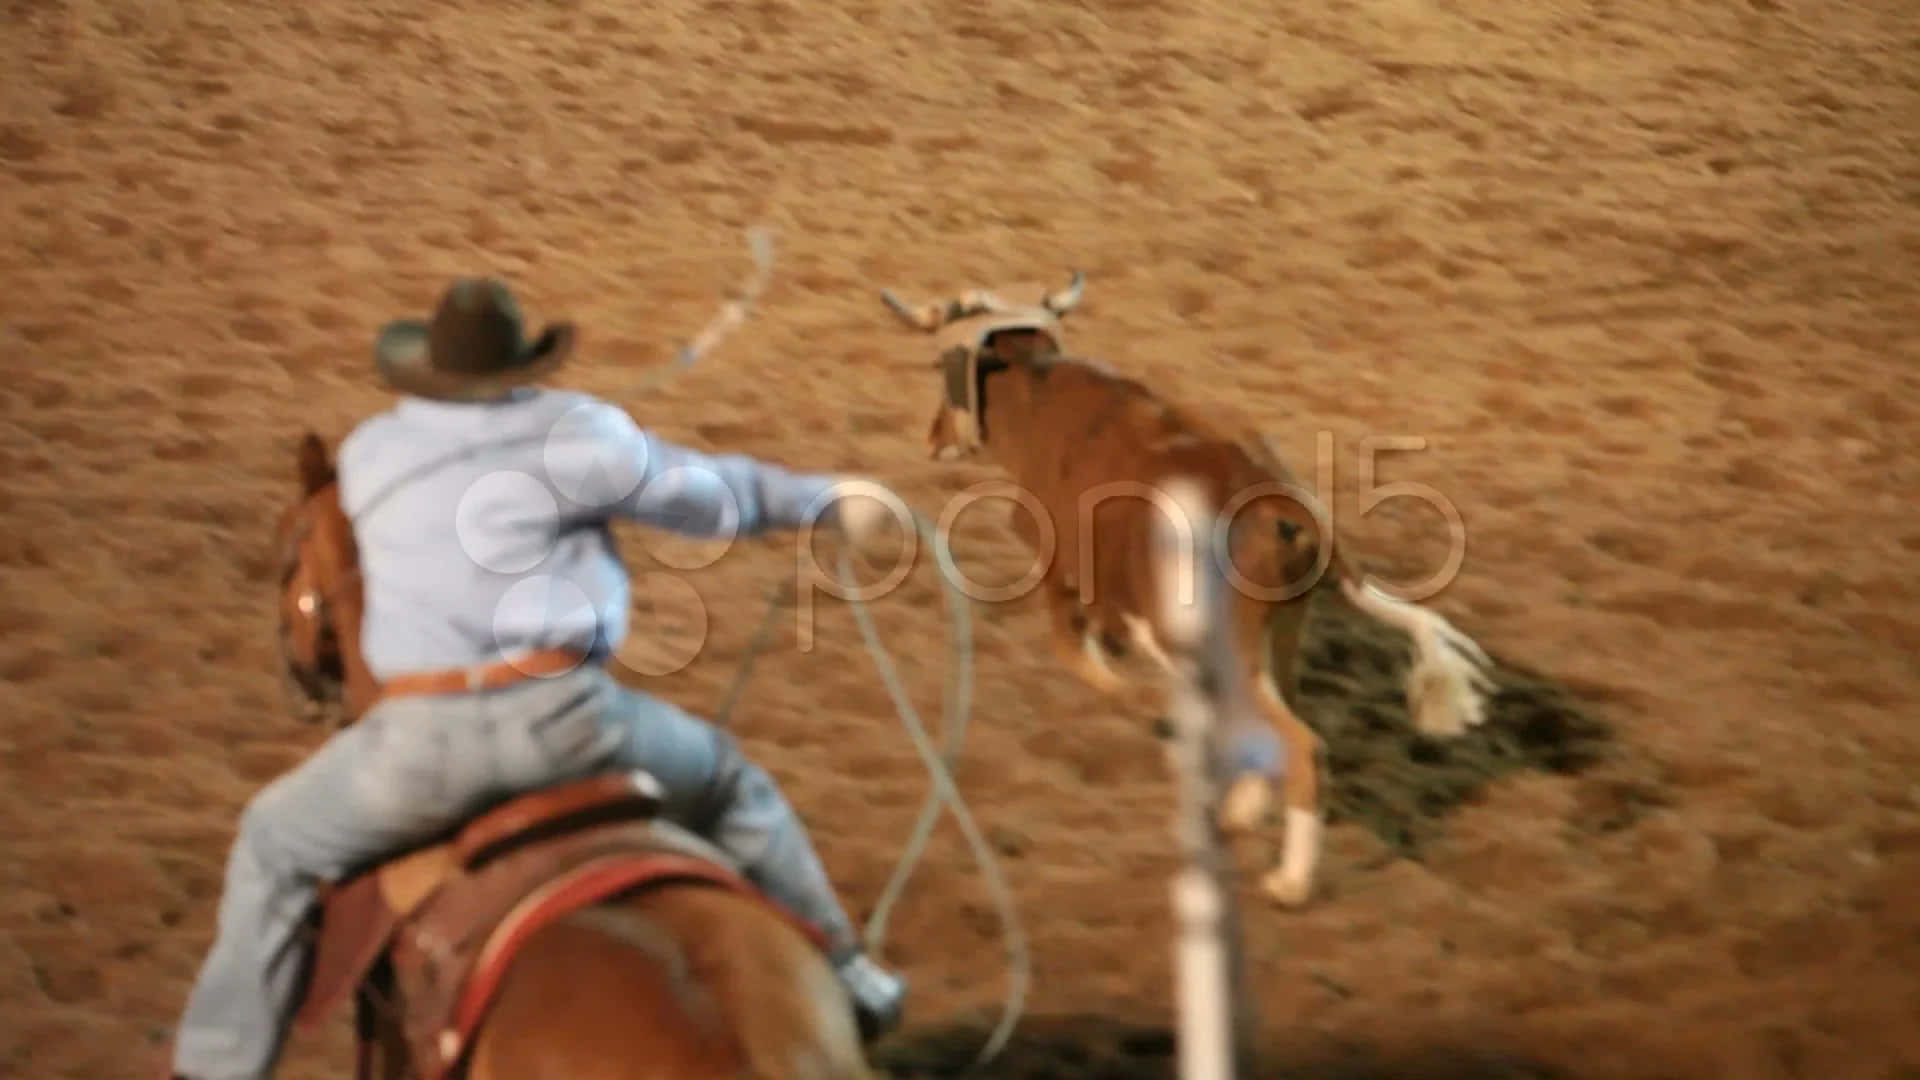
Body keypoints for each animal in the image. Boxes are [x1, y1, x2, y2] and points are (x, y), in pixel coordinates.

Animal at [879, 267, 1489, 899]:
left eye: (939, 368)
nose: (933, 437)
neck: (1042, 398)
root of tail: (1282, 504)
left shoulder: (1063, 570)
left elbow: (1078, 653)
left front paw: (1123, 687)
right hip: (1277, 635)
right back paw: (1242, 811)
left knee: (1298, 744)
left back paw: (1288, 880)